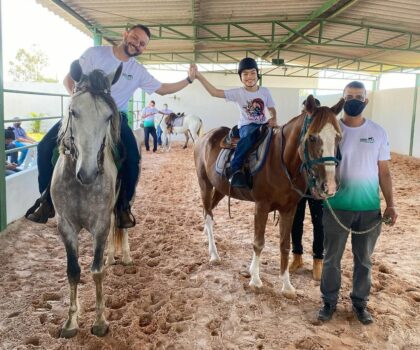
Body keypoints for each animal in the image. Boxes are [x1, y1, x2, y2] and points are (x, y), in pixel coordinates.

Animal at [51, 61, 132, 338]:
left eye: (108, 117)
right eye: (73, 111)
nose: (87, 173)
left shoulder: (99, 224)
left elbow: (96, 272)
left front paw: (99, 321)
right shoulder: (65, 225)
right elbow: (73, 271)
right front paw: (70, 323)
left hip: (119, 206)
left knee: (121, 226)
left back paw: (125, 256)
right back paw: (112, 256)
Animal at [195, 95, 342, 298]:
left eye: (338, 138)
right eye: (312, 137)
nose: (329, 186)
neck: (282, 161)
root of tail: (205, 137)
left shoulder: (289, 209)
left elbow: (285, 245)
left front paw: (287, 285)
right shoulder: (261, 206)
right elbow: (258, 242)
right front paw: (256, 280)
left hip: (220, 189)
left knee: (206, 212)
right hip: (205, 185)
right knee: (208, 216)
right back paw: (214, 255)